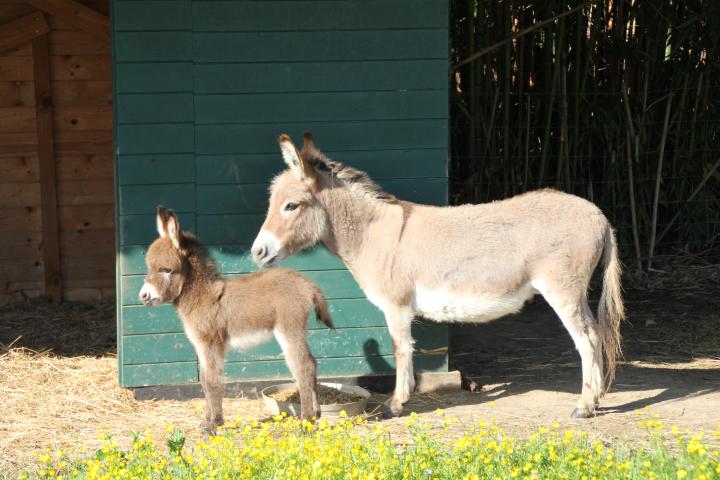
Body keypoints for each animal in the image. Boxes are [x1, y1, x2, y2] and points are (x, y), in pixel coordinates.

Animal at [139, 207, 334, 436]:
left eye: (166, 270)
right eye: (150, 268)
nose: (143, 296)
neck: (202, 296)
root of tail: (306, 284)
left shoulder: (211, 344)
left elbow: (213, 382)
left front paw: (213, 426)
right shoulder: (201, 347)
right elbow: (204, 381)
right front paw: (206, 423)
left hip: (289, 329)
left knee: (302, 367)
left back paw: (306, 422)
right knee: (311, 363)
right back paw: (317, 414)